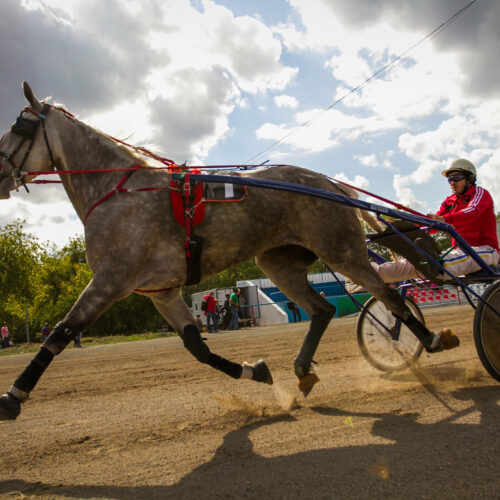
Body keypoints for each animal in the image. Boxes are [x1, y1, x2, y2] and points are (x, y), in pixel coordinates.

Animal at [0, 84, 458, 420]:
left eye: (18, 128)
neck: (118, 190)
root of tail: (328, 184)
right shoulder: (161, 292)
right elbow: (199, 350)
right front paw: (255, 371)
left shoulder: (110, 281)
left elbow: (60, 334)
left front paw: (13, 397)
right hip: (276, 262)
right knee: (323, 309)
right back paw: (301, 370)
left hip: (342, 252)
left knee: (389, 296)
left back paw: (431, 338)